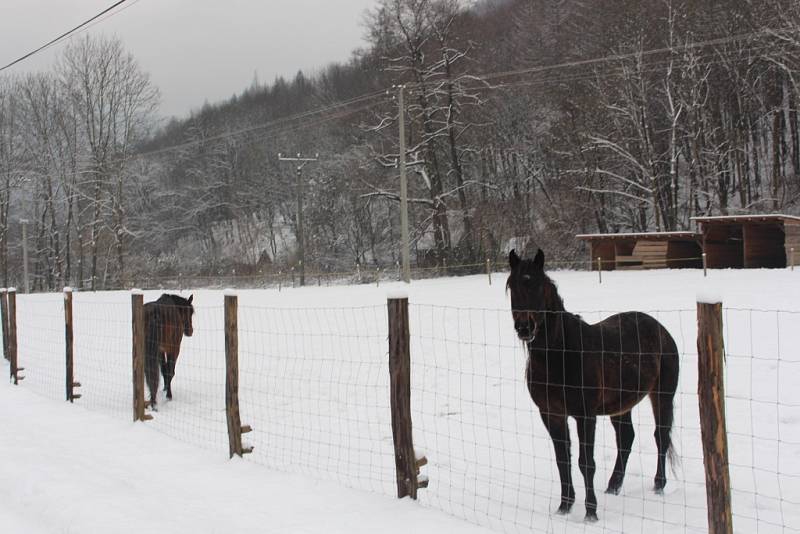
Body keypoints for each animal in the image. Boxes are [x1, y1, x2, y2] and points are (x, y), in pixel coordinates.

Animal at [510, 251, 680, 524]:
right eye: (512, 287)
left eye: (537, 285)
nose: (525, 328)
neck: (561, 355)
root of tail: (661, 329)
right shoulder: (551, 414)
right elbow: (563, 460)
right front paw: (564, 506)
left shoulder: (585, 415)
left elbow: (585, 462)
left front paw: (591, 512)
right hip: (621, 406)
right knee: (626, 438)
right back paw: (613, 486)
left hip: (662, 396)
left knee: (661, 436)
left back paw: (658, 485)